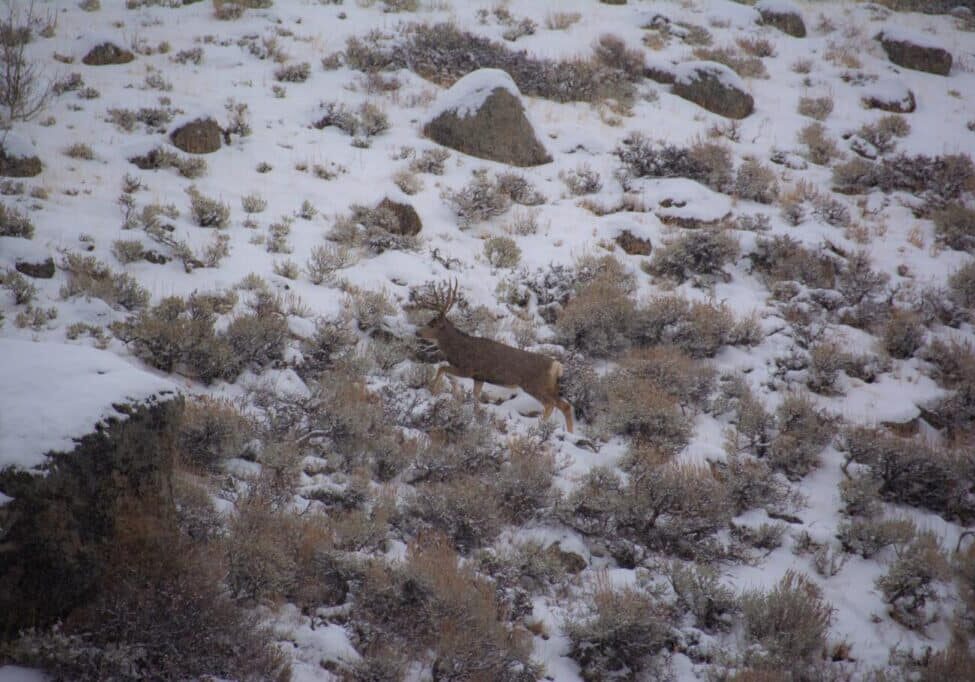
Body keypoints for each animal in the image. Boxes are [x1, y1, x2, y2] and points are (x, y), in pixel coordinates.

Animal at [414, 280, 574, 433]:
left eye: (432, 324)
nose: (417, 332)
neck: (458, 349)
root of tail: (557, 366)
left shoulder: (468, 369)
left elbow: (442, 368)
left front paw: (433, 391)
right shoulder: (479, 377)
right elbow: (475, 396)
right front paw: (476, 415)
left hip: (536, 385)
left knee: (553, 405)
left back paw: (542, 427)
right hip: (550, 387)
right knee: (563, 405)